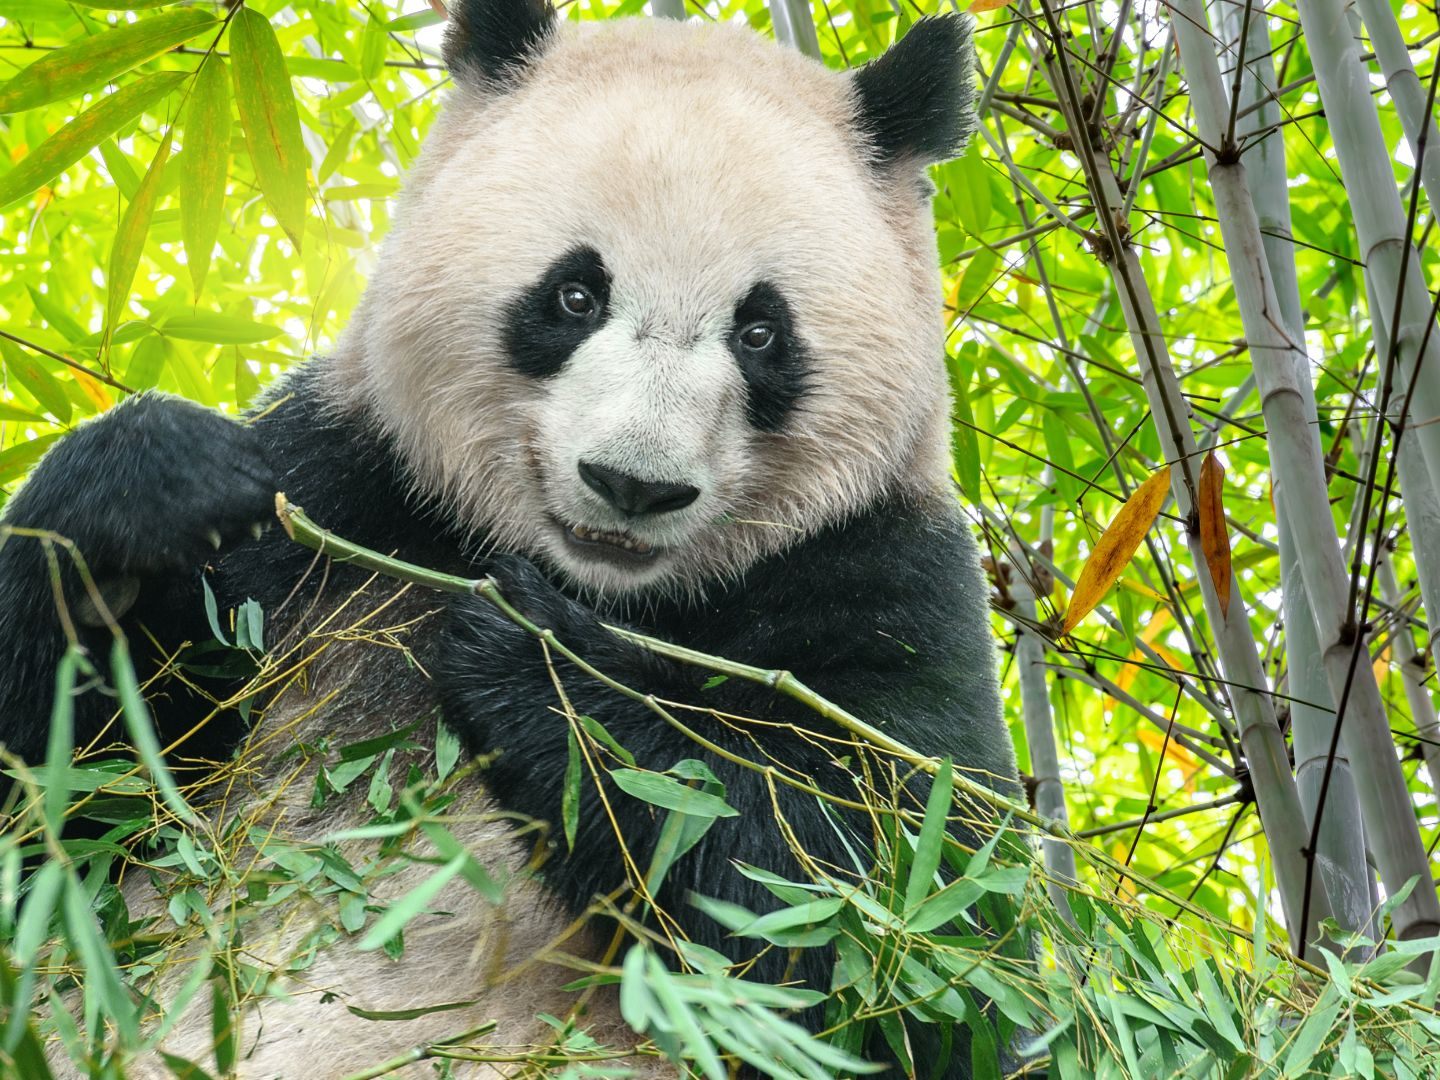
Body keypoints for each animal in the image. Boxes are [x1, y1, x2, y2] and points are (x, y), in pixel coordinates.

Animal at [0, 1, 1020, 1076]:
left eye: (759, 332)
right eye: (575, 295)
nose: (633, 484)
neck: (609, 587)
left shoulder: (883, 570)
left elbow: (893, 924)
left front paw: (532, 653)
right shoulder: (336, 497)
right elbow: (69, 816)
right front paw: (146, 488)